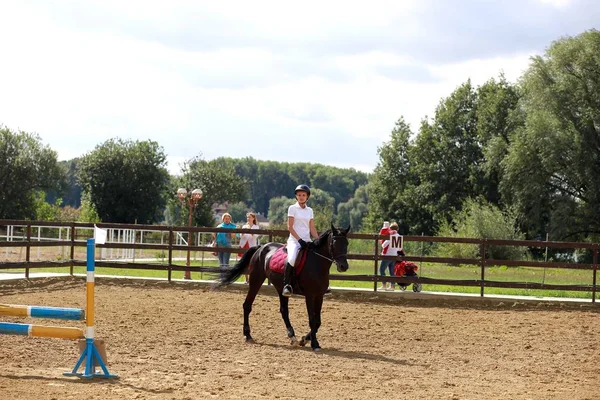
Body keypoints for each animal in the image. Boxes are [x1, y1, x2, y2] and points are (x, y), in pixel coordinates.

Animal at [216, 223, 350, 352]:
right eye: (334, 243)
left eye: (347, 243)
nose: (343, 266)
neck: (317, 263)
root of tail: (261, 247)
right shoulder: (310, 295)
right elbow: (312, 319)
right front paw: (314, 344)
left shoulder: (319, 295)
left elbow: (317, 321)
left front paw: (304, 339)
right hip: (256, 281)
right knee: (247, 305)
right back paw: (248, 335)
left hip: (281, 288)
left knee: (284, 310)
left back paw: (292, 336)